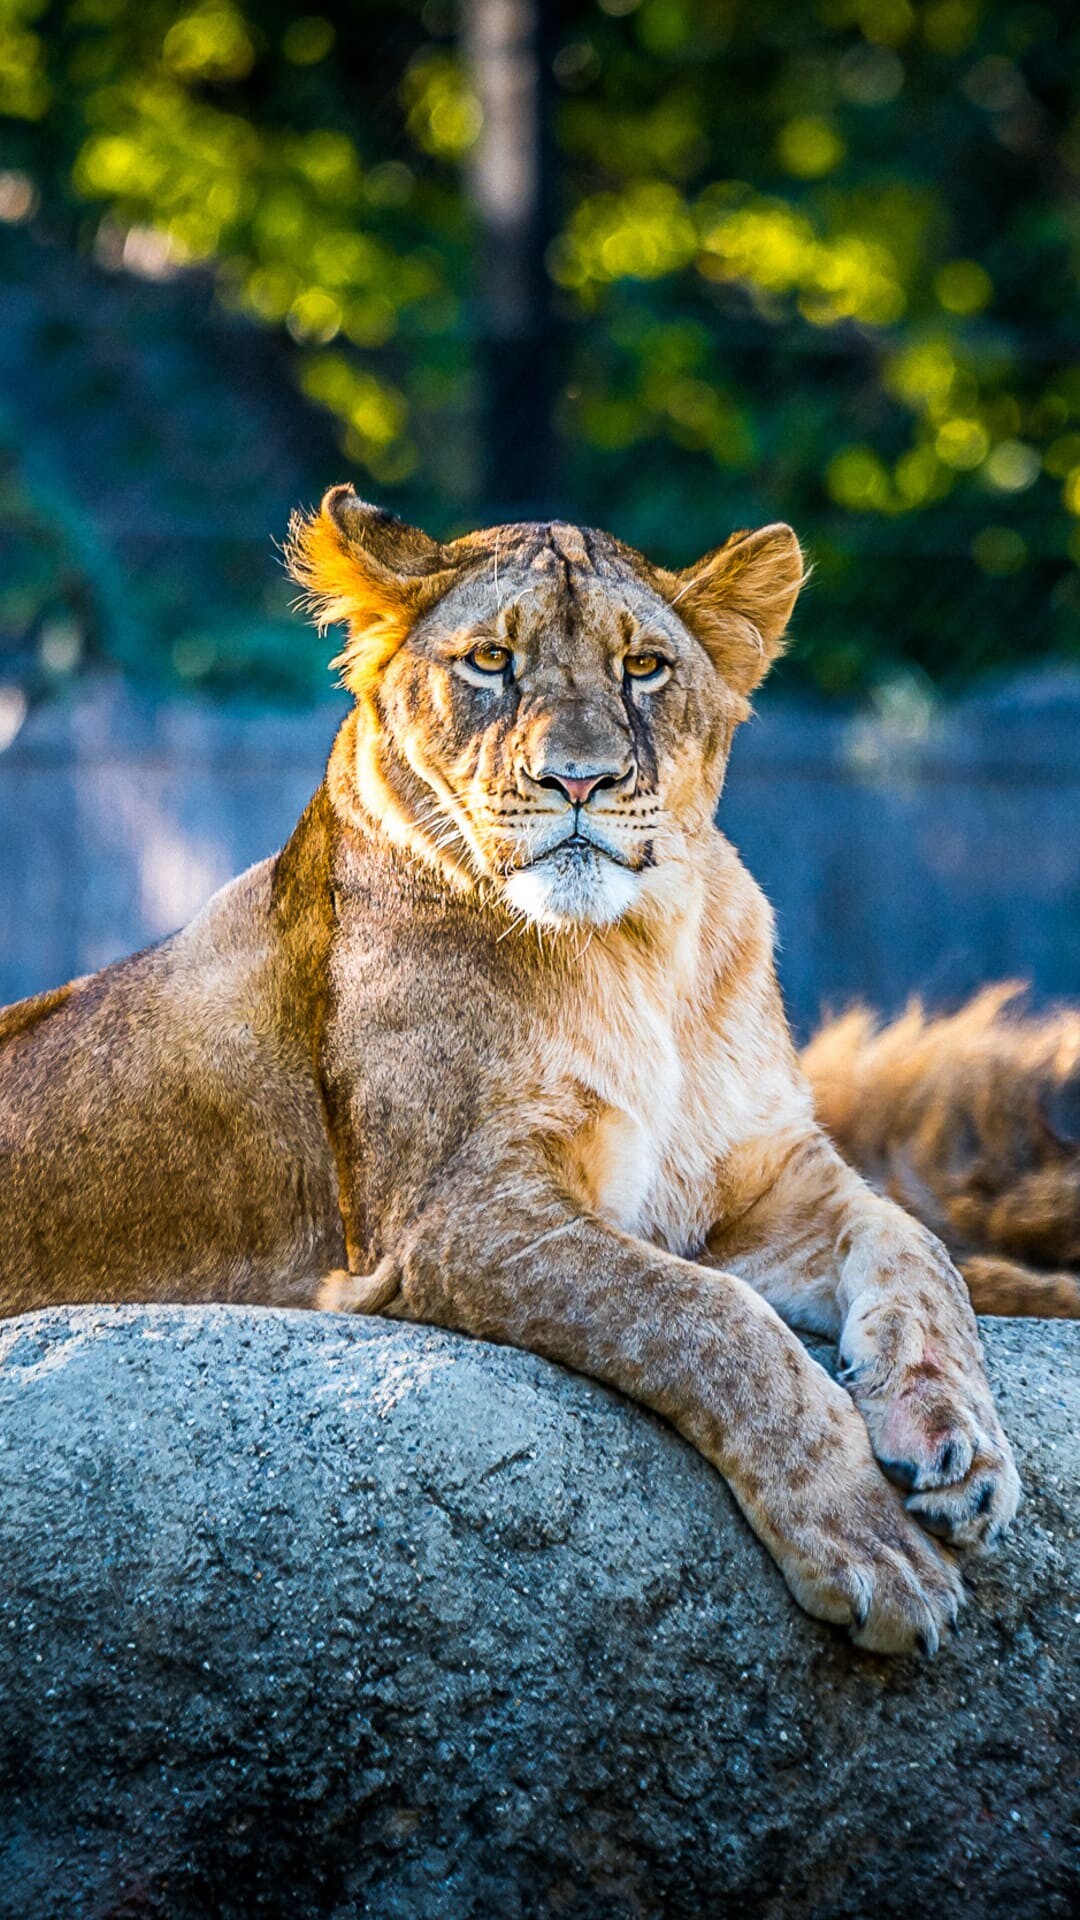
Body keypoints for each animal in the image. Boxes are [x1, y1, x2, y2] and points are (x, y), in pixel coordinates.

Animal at [2, 485, 1077, 1654]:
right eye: (490, 661)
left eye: (644, 666)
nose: (579, 778)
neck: (639, 952)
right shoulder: (451, 1220)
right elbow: (706, 1317)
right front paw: (868, 1542)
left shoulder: (754, 1181)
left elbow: (917, 1245)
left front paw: (954, 1444)